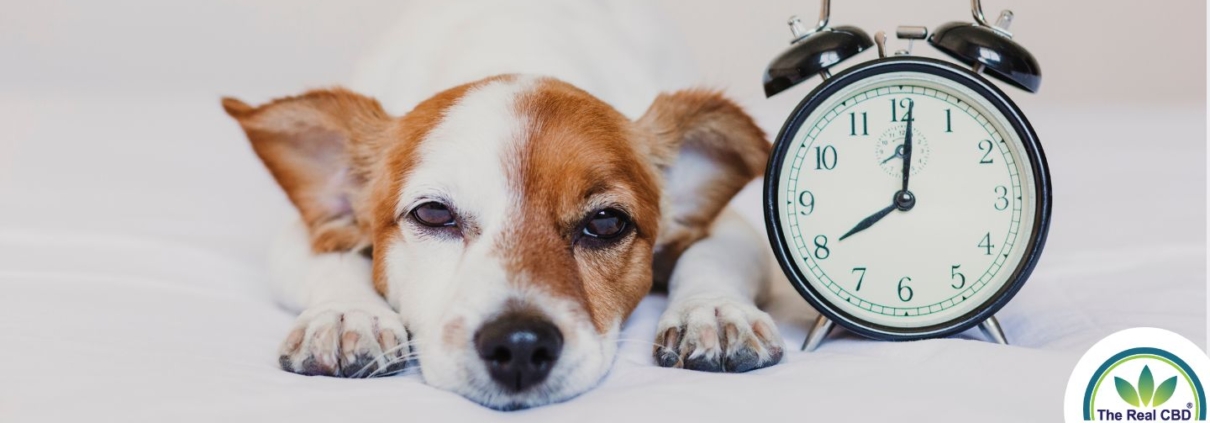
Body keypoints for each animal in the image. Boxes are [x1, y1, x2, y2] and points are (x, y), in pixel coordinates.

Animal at [220, 0, 784, 410]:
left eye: (606, 222)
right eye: (433, 214)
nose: (519, 345)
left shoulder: (732, 227)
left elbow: (710, 256)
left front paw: (711, 310)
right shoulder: (311, 228)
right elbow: (333, 261)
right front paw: (345, 316)